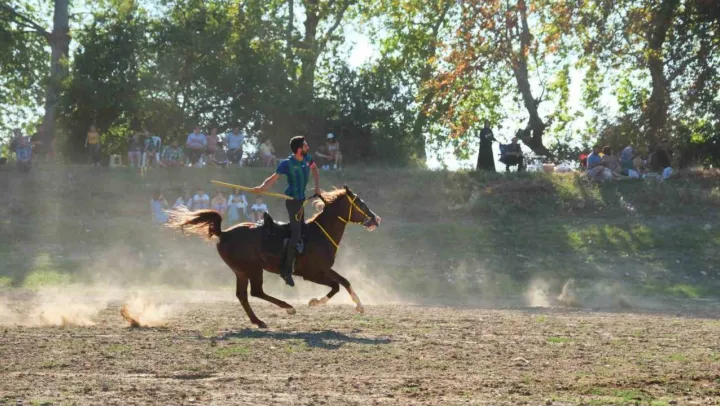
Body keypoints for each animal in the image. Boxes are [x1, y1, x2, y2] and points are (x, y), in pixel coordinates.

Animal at [166, 186, 381, 328]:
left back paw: (258, 321)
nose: (376, 219)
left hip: (241, 271)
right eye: (360, 203)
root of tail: (224, 233)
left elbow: (343, 282)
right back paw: (288, 308)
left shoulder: (324, 269)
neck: (318, 234)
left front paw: (358, 305)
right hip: (252, 269)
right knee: (256, 292)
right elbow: (337, 285)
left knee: (243, 295)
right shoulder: (312, 273)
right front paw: (316, 302)